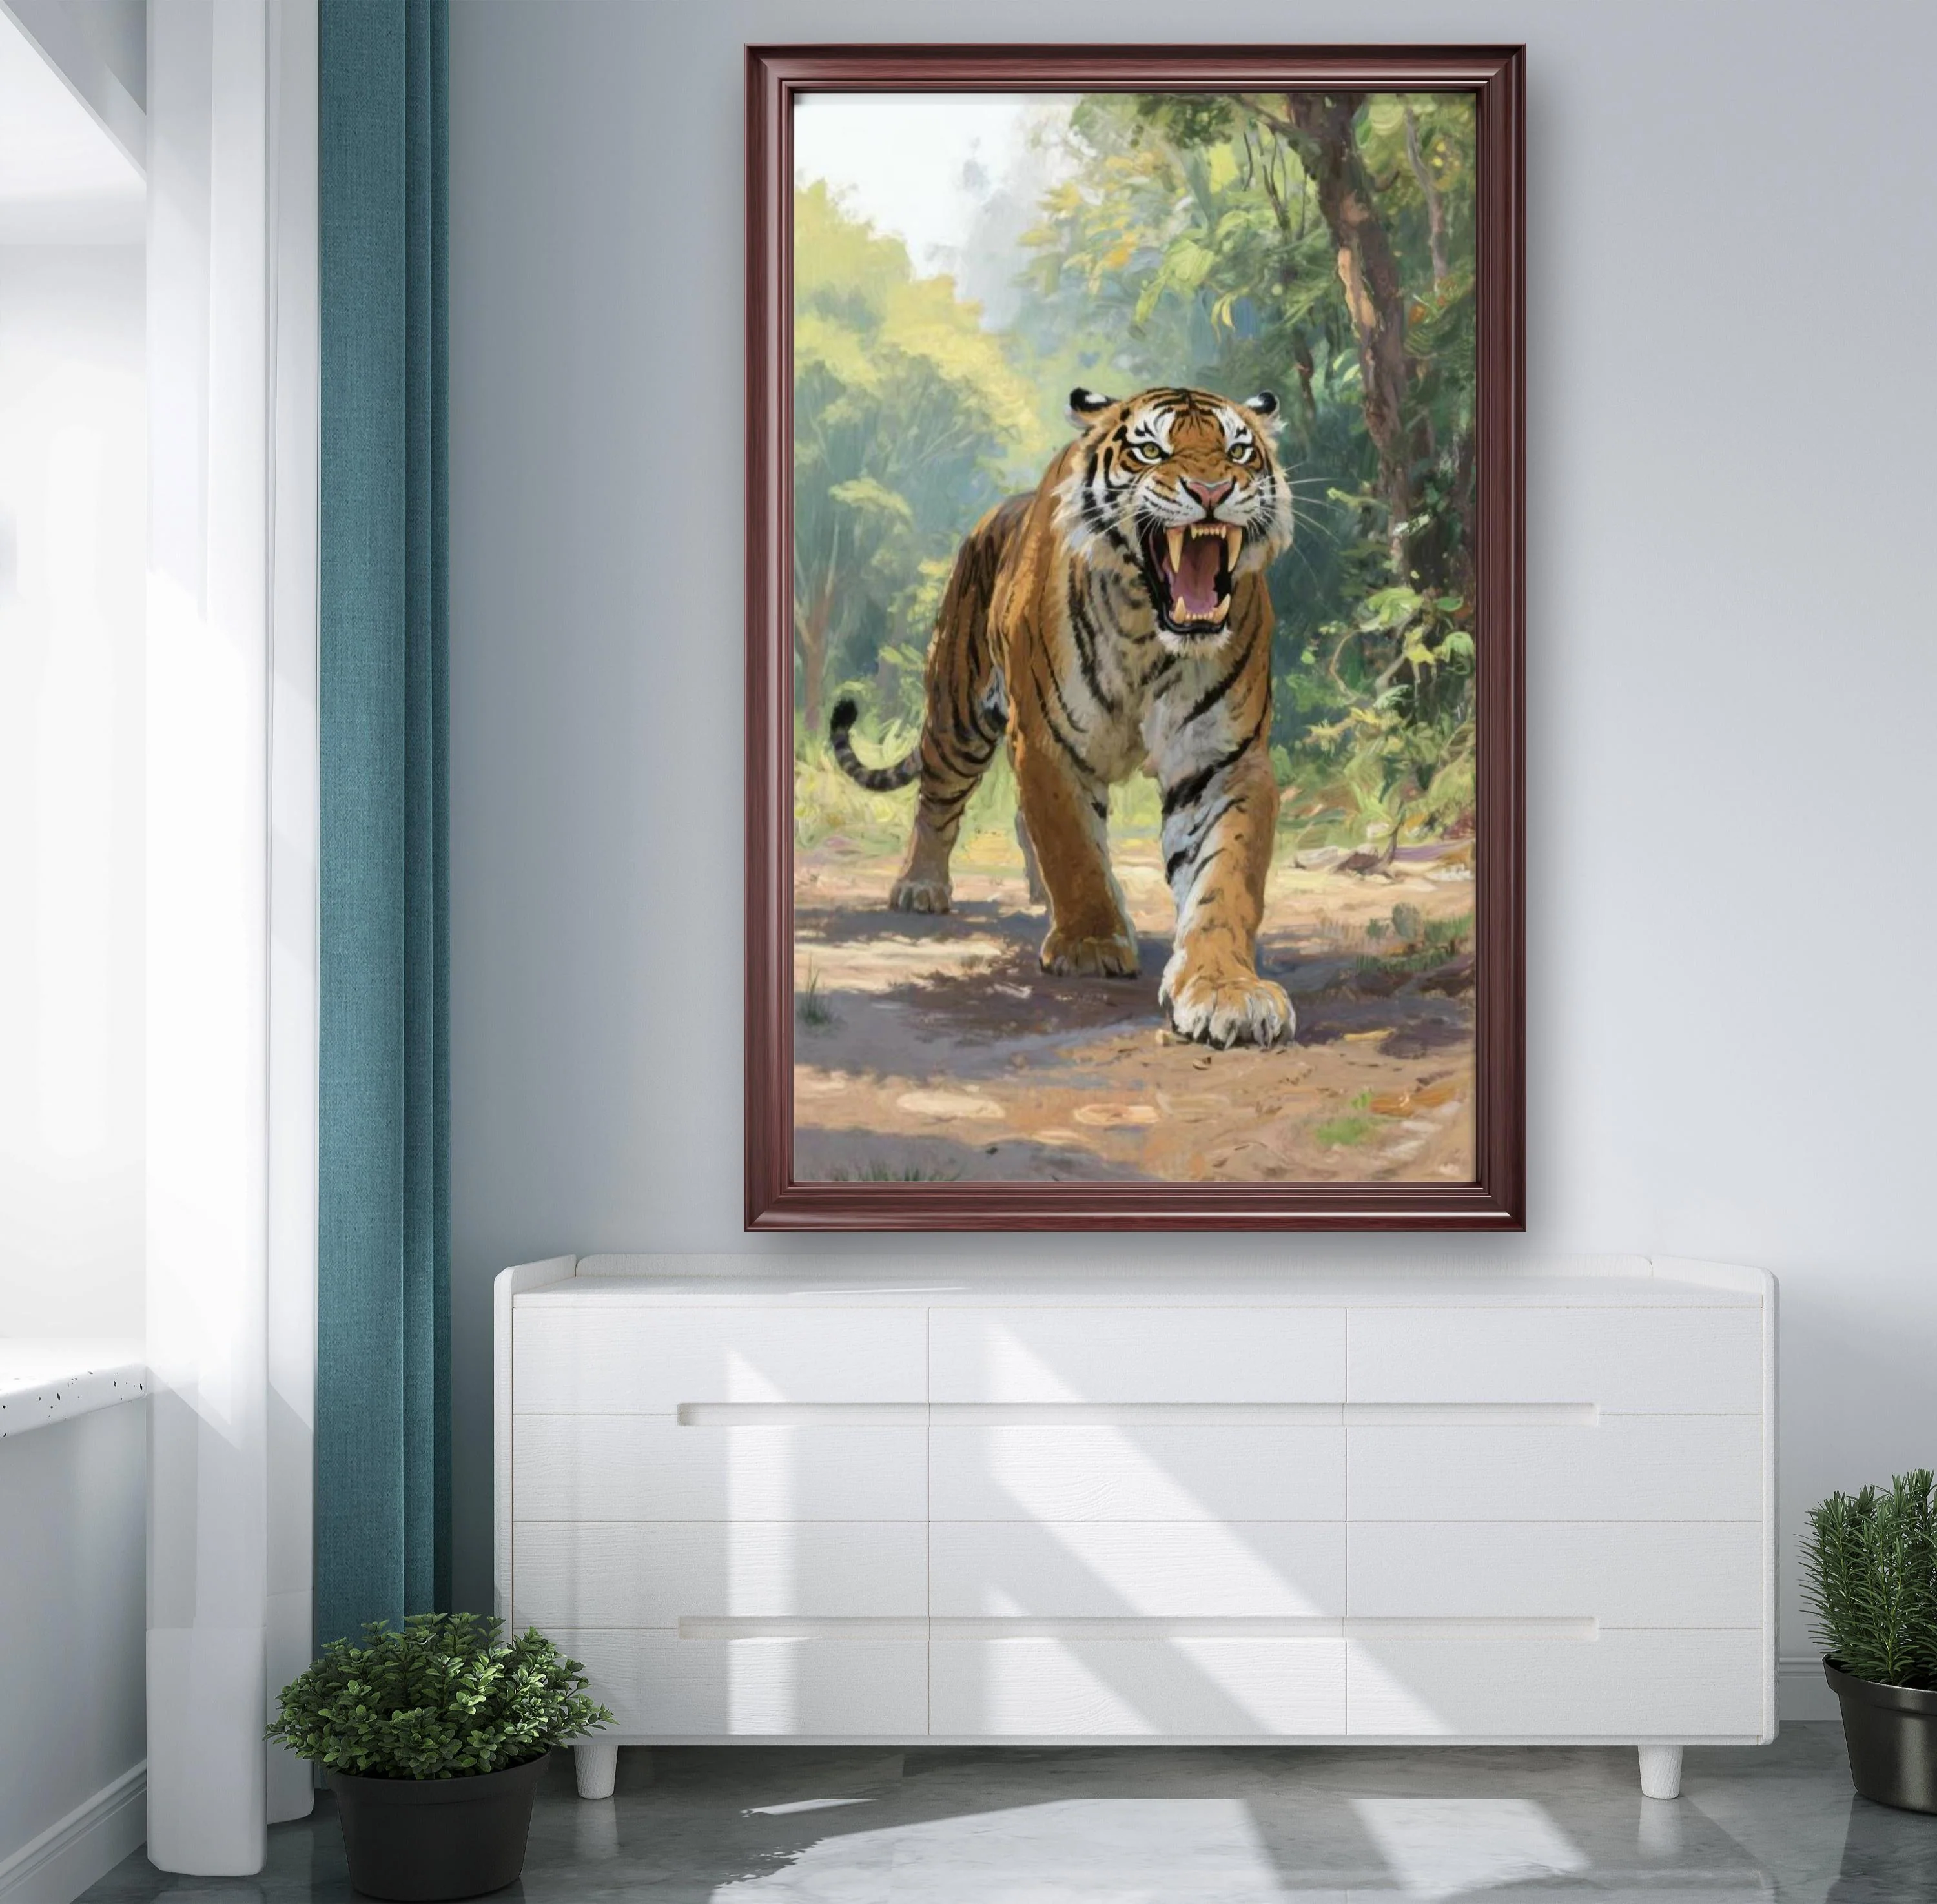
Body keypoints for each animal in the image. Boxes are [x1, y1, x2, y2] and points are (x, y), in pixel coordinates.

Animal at [828, 384, 1297, 1048]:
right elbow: (1072, 846)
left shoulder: (1223, 761)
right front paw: (1090, 944)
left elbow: (1225, 878)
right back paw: (921, 886)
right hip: (957, 716)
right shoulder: (1048, 744)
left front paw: (1227, 991)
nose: (1212, 491)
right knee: (936, 803)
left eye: (1238, 451)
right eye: (1151, 450)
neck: (1148, 631)